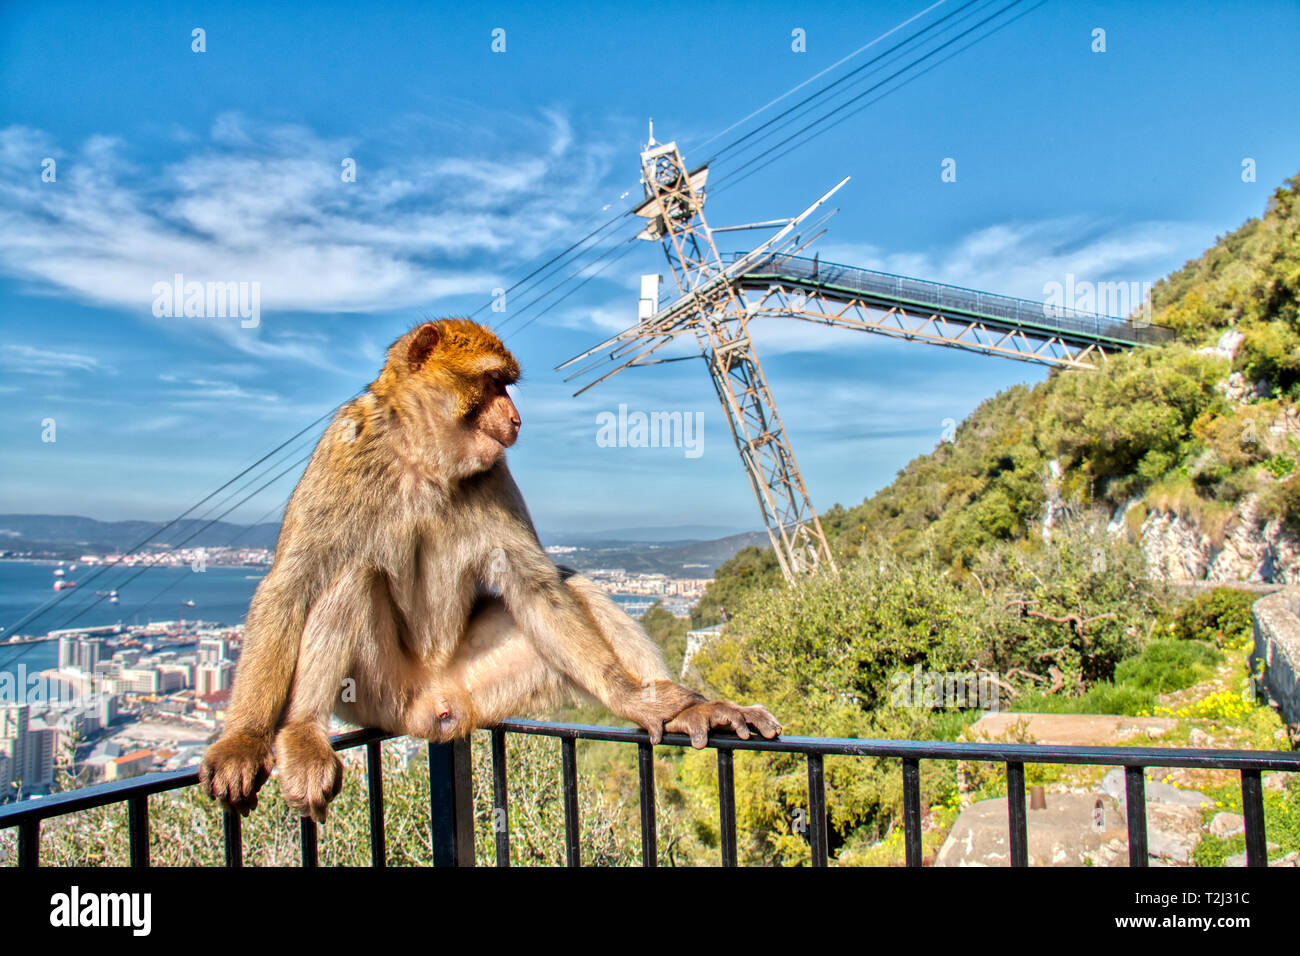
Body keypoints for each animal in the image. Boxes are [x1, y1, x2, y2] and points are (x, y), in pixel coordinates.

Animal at [199, 319, 780, 822]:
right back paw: (302, 734)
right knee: (350, 577)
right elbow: (290, 583)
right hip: (380, 696)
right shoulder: (343, 447)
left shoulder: (494, 472)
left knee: (573, 585)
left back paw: (679, 706)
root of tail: (430, 712)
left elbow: (536, 584)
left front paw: (635, 700)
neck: (422, 459)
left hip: (481, 689)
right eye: (493, 382)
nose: (517, 418)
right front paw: (242, 740)